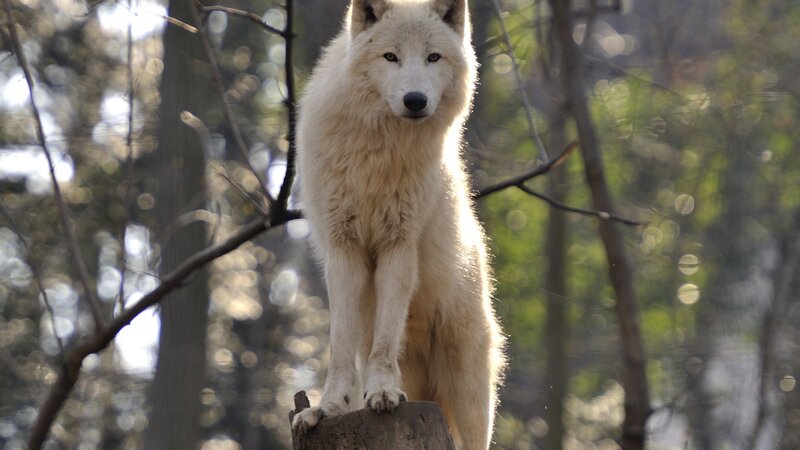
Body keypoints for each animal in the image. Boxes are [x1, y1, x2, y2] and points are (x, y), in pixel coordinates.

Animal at [291, 0, 505, 448]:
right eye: (390, 57)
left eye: (433, 58)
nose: (415, 100)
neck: (379, 154)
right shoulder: (344, 248)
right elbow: (340, 346)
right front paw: (328, 408)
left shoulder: (399, 245)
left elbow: (386, 341)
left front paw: (384, 393)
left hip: (468, 387)